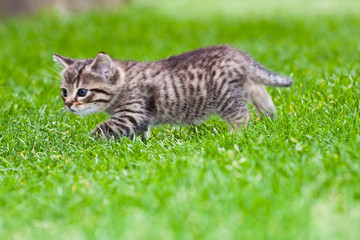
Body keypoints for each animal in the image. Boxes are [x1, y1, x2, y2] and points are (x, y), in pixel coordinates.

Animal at [54, 45, 292, 140]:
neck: (123, 82)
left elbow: (102, 128)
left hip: (227, 97)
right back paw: (270, 116)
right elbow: (140, 133)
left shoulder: (132, 112)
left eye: (82, 91)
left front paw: (85, 144)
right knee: (258, 88)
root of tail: (237, 53)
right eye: (64, 92)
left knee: (241, 116)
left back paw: (236, 135)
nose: (68, 104)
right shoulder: (138, 119)